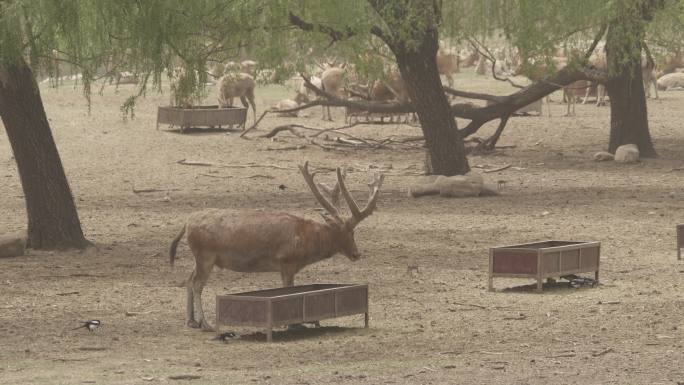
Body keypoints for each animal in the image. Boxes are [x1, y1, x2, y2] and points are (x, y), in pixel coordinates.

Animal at [168, 162, 384, 330]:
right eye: (349, 232)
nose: (356, 254)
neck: (306, 242)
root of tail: (186, 224)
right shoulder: (286, 262)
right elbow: (288, 290)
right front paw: (293, 323)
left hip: (199, 257)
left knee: (188, 280)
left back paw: (191, 321)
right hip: (206, 255)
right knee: (197, 284)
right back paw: (206, 324)